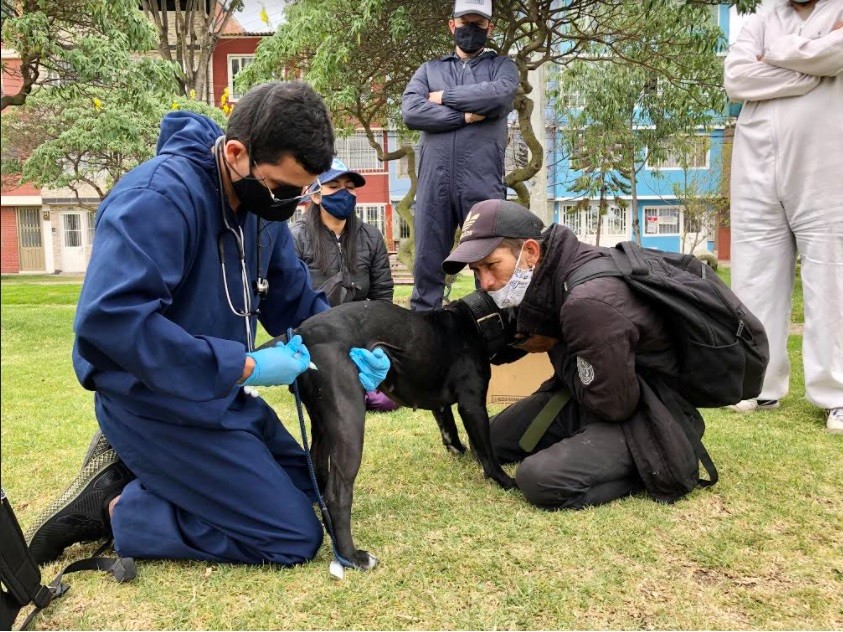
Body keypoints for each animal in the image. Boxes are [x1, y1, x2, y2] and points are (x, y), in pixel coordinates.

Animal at [268, 294, 520, 572]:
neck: (476, 320)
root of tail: (301, 333)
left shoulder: (441, 405)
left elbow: (451, 430)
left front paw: (461, 451)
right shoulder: (472, 404)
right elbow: (488, 453)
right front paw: (506, 481)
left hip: (323, 423)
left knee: (318, 468)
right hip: (349, 422)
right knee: (337, 496)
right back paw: (352, 556)